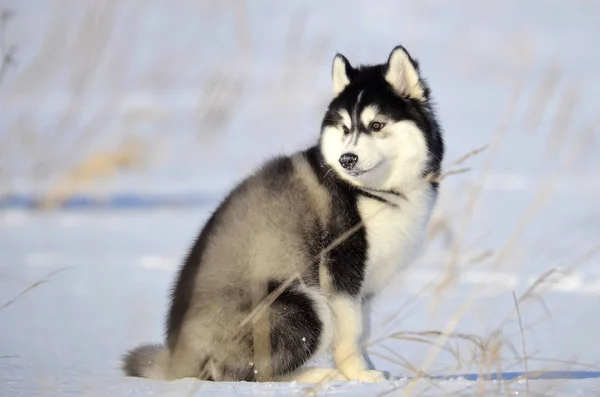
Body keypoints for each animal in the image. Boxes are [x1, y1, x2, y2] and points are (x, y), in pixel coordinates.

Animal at [123, 44, 440, 382]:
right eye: (345, 128)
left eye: (377, 125)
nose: (347, 159)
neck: (374, 191)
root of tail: (177, 356)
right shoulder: (340, 271)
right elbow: (351, 333)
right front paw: (360, 376)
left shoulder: (365, 288)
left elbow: (363, 331)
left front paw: (368, 371)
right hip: (303, 303)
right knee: (246, 375)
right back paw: (316, 376)